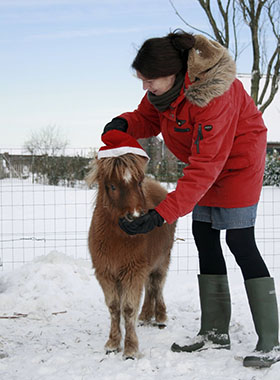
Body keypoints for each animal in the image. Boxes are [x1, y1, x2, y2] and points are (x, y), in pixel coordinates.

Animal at [86, 152, 176, 360]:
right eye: (112, 186)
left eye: (139, 182)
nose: (135, 217)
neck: (117, 238)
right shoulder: (106, 273)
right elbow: (114, 307)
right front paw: (112, 343)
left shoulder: (133, 271)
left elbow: (128, 308)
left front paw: (130, 349)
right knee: (150, 287)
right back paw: (145, 316)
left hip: (162, 260)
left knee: (158, 285)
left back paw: (160, 317)